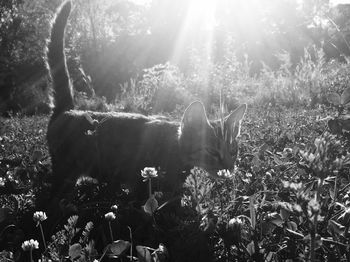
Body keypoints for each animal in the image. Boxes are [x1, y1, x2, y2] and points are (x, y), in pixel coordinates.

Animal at [45, 0, 246, 201]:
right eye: (212, 152)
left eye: (233, 151)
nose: (229, 168)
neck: (175, 148)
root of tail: (68, 109)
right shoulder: (140, 186)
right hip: (64, 174)